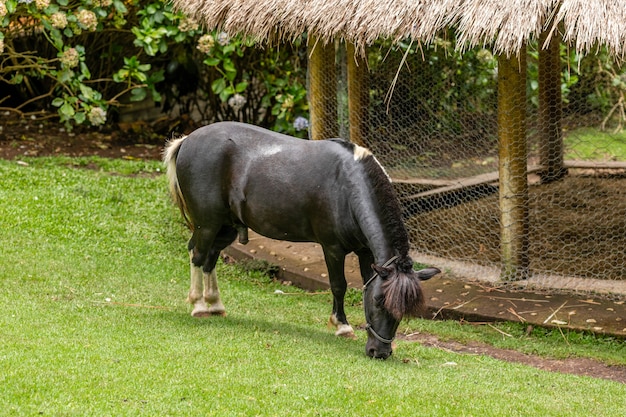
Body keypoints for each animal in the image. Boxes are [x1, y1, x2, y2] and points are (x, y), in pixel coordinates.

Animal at [163, 121, 436, 358]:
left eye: (404, 311)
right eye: (379, 301)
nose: (379, 352)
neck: (347, 187)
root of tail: (187, 140)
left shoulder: (366, 252)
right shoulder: (332, 248)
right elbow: (339, 285)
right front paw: (342, 326)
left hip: (225, 227)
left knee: (210, 258)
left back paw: (215, 304)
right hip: (208, 224)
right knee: (198, 255)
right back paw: (199, 306)